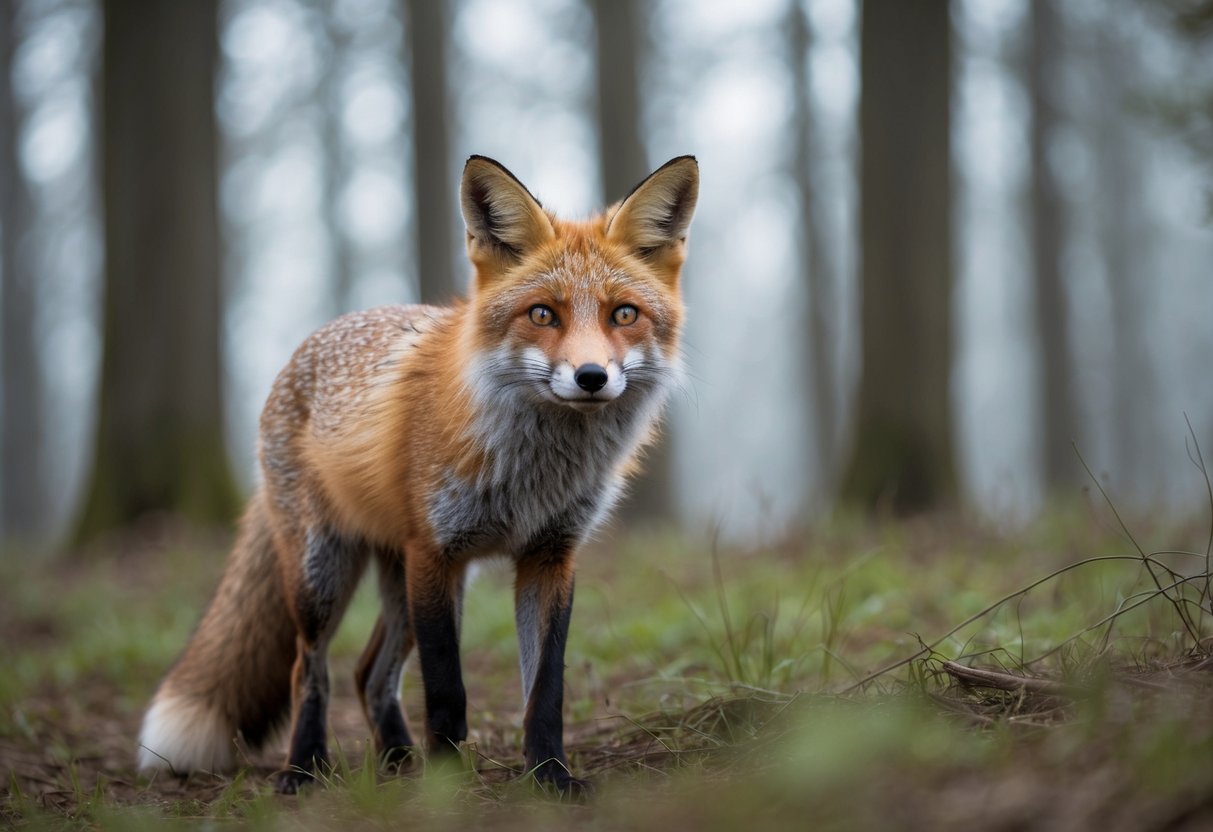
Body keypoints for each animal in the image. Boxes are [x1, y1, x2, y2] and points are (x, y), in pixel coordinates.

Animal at [136, 154, 699, 794]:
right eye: (542, 314)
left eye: (623, 314)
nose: (591, 377)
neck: (532, 474)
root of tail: (305, 346)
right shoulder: (435, 552)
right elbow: (447, 690)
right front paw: (448, 786)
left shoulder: (550, 556)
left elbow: (545, 691)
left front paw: (550, 777)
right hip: (326, 574)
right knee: (311, 668)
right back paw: (304, 767)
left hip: (403, 580)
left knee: (367, 672)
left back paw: (398, 759)